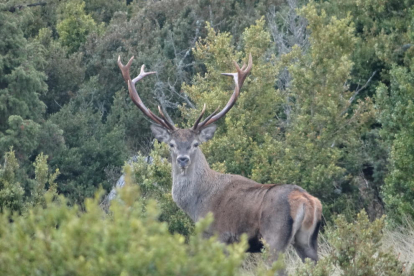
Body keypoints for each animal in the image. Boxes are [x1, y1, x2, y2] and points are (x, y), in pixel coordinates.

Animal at [117, 53, 324, 264]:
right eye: (172, 144)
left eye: (195, 144)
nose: (183, 159)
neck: (197, 204)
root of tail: (309, 202)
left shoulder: (218, 236)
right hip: (308, 241)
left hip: (274, 238)